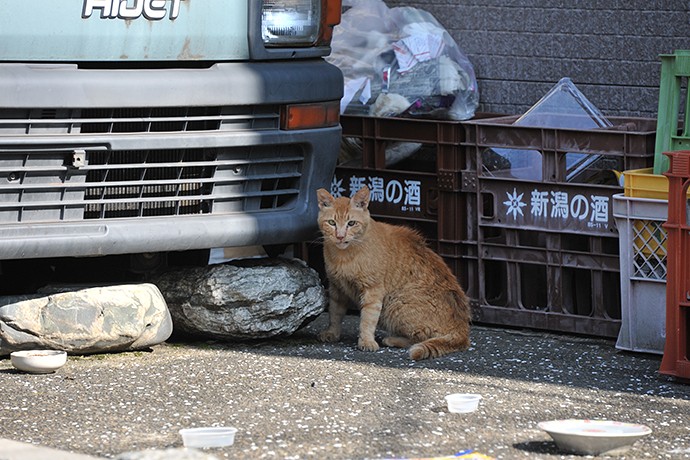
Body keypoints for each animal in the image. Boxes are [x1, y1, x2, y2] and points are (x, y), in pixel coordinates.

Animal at [314, 186, 470, 360]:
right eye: (332, 223)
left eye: (351, 223)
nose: (340, 236)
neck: (343, 256)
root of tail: (462, 328)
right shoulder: (337, 289)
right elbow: (335, 313)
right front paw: (332, 333)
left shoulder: (373, 291)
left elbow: (367, 319)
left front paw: (366, 341)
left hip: (396, 304)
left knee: (420, 337)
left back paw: (391, 340)